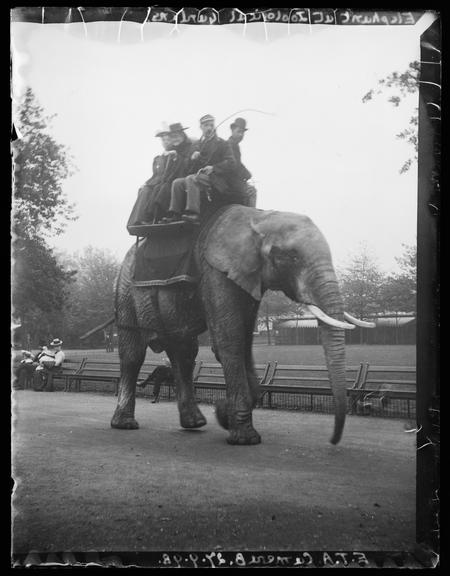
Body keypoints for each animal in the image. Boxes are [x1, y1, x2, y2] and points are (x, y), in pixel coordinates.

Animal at [111, 204, 372, 446]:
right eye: (291, 257)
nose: (333, 441)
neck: (257, 218)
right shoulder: (215, 271)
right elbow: (230, 340)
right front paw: (244, 437)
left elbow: (246, 341)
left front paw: (223, 414)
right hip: (125, 292)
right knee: (133, 354)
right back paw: (125, 424)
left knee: (183, 352)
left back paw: (195, 423)